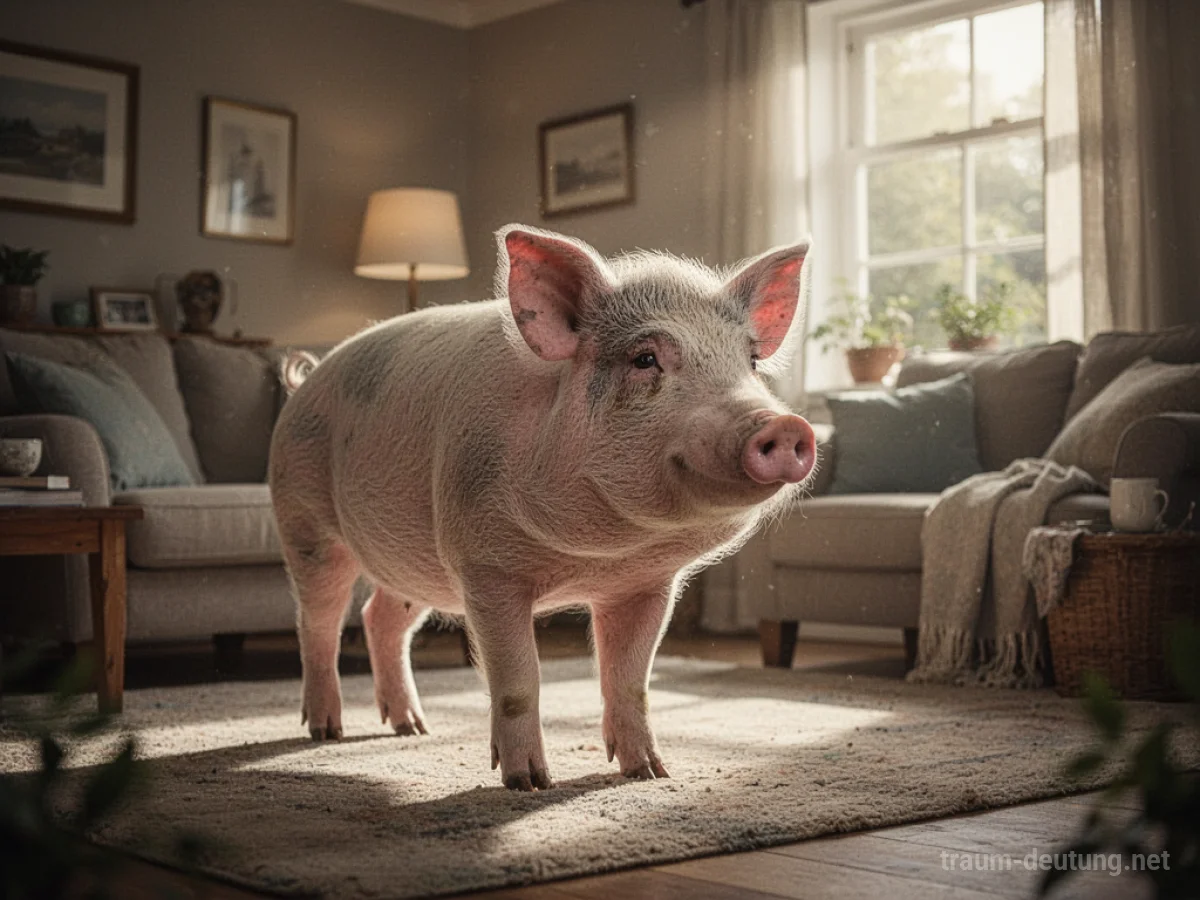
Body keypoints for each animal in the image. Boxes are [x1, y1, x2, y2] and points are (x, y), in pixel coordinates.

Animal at [268, 225, 816, 791]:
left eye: (750, 362)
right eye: (645, 359)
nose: (783, 426)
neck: (598, 551)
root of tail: (304, 381)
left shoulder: (645, 583)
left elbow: (630, 679)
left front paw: (650, 774)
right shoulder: (484, 566)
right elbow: (519, 678)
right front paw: (529, 783)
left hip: (415, 559)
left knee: (380, 618)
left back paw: (413, 728)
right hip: (303, 520)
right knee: (319, 623)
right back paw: (326, 731)